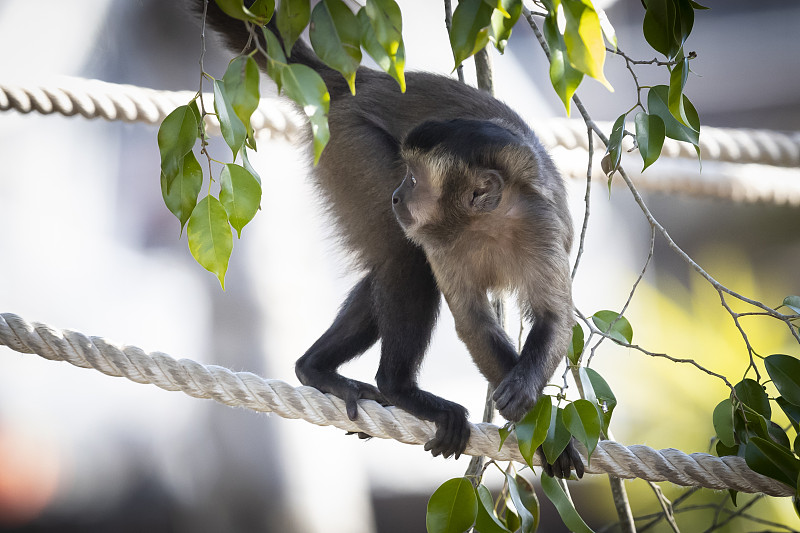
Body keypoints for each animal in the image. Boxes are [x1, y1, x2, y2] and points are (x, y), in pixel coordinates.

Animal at [202, 0, 580, 474]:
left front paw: (529, 397)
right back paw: (396, 388)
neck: (486, 224)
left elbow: (553, 318)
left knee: (392, 261)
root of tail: (360, 80)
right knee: (404, 257)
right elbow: (473, 322)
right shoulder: (439, 239)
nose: (398, 194)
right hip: (347, 143)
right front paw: (546, 433)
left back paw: (315, 370)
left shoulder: (542, 224)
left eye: (415, 180)